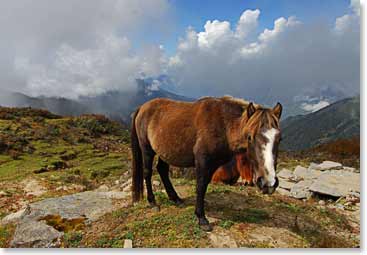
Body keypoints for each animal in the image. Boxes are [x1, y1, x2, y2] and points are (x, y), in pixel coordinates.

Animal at [131, 95, 284, 231]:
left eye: (280, 139)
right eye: (249, 137)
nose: (268, 183)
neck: (223, 125)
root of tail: (142, 107)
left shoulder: (213, 166)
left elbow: (204, 186)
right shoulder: (202, 162)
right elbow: (201, 186)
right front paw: (201, 218)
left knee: (162, 170)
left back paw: (175, 198)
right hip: (147, 150)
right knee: (147, 172)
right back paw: (152, 202)